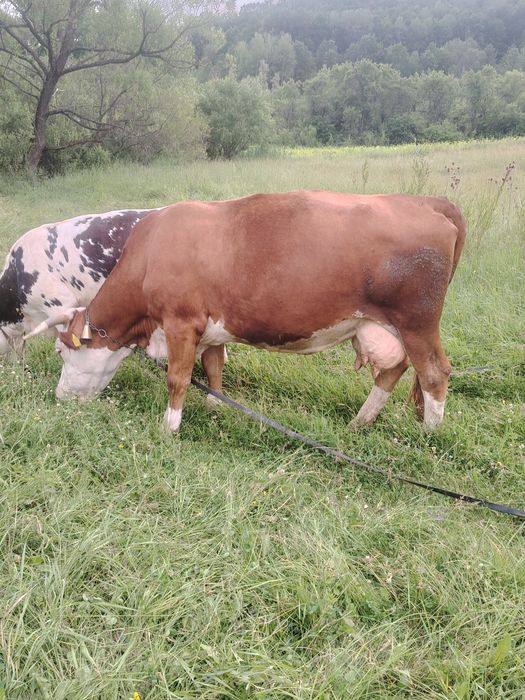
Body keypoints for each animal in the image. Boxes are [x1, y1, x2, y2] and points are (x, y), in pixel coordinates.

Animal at [27, 191, 466, 432]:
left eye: (62, 351)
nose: (59, 395)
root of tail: (428, 202)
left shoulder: (181, 322)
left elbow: (178, 378)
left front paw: (169, 428)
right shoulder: (210, 327)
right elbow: (214, 365)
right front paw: (214, 405)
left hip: (416, 322)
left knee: (434, 373)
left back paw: (429, 433)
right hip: (384, 325)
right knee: (395, 370)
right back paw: (360, 421)